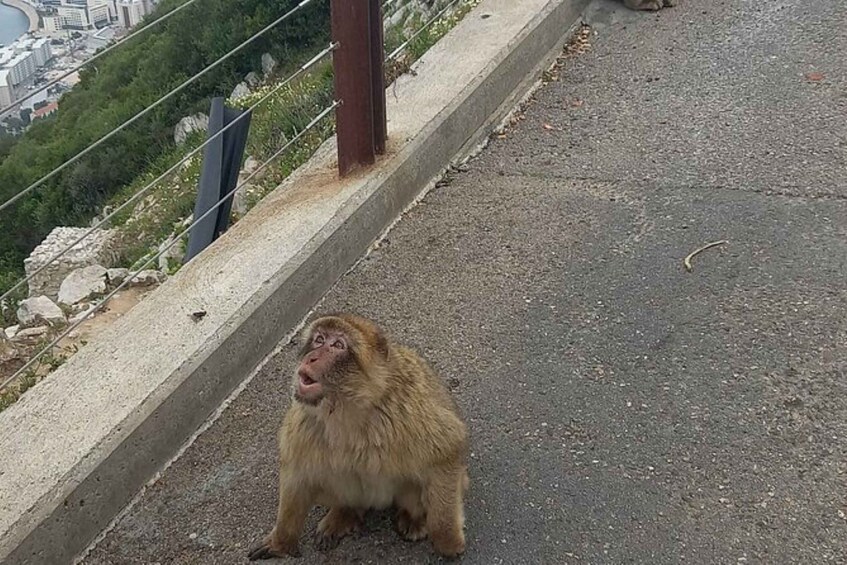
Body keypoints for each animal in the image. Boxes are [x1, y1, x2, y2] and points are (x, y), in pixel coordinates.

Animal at [248, 313, 469, 560]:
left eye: (338, 345)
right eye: (319, 339)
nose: (311, 358)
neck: (345, 407)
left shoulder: (406, 413)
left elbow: (448, 450)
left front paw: (448, 540)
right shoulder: (304, 421)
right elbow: (297, 476)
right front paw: (281, 540)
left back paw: (413, 517)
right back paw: (345, 513)